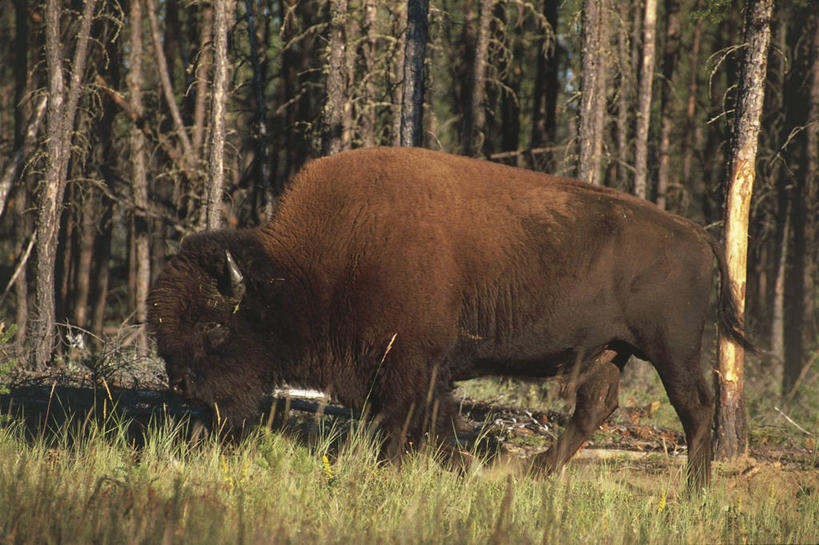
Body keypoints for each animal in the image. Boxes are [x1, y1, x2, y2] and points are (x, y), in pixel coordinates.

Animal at [147, 144, 748, 484]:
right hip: (607, 351)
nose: (184, 387)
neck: (304, 272)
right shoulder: (402, 370)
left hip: (671, 348)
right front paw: (462, 467)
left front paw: (432, 470)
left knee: (696, 407)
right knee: (595, 406)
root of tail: (696, 233)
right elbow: (420, 423)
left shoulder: (414, 366)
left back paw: (695, 488)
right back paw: (535, 472)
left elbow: (416, 422)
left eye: (214, 324)